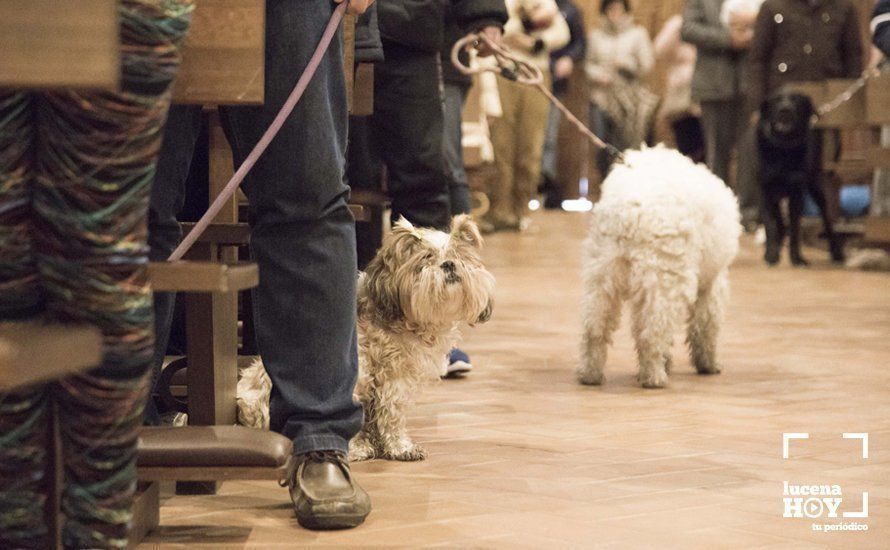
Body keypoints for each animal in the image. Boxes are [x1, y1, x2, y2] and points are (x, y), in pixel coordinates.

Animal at [576, 147, 744, 388]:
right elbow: (704, 326)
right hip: (663, 283)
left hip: (603, 277)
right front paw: (708, 364)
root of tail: (629, 210)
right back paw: (654, 376)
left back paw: (590, 374)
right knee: (653, 332)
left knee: (595, 328)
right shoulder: (712, 284)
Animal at [752, 92, 844, 268]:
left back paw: (837, 253)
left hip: (816, 186)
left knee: (826, 218)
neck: (782, 148)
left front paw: (797, 258)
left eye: (796, 100)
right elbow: (770, 226)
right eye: (776, 100)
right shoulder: (765, 193)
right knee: (779, 223)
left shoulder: (796, 194)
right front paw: (771, 254)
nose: (785, 110)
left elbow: (795, 229)